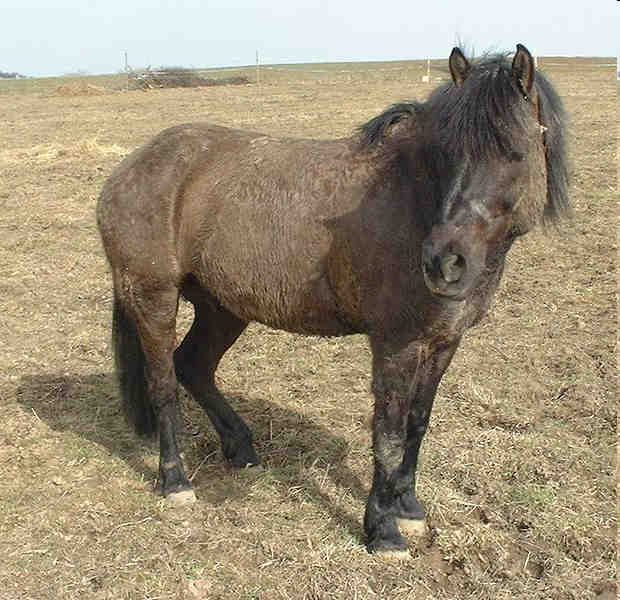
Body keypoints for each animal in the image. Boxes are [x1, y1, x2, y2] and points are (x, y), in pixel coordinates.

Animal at [95, 44, 568, 556]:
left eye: (514, 151)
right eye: (447, 153)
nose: (444, 262)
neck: (414, 200)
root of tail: (132, 167)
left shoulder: (444, 341)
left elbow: (418, 423)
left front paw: (409, 508)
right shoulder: (395, 344)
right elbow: (388, 432)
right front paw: (383, 529)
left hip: (222, 307)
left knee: (193, 366)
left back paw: (241, 447)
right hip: (154, 297)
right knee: (163, 382)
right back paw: (176, 481)